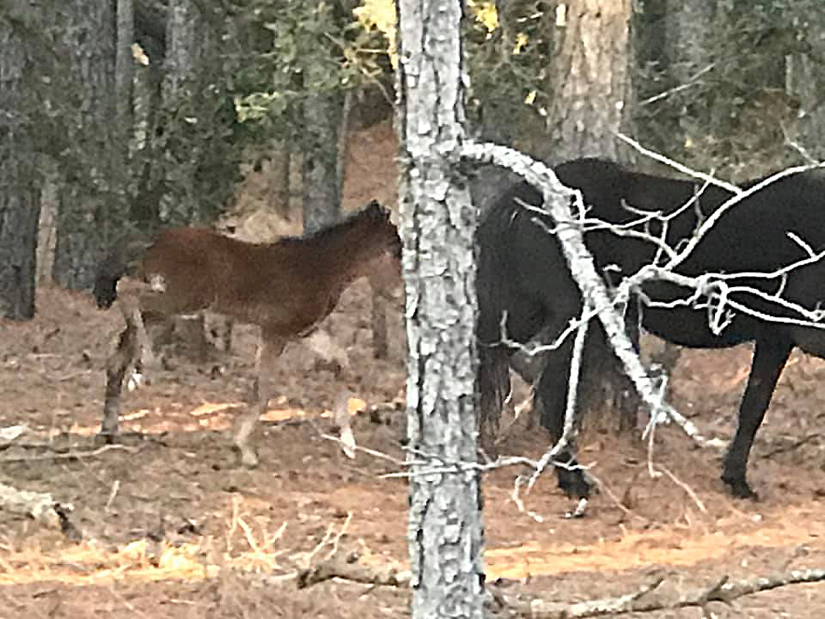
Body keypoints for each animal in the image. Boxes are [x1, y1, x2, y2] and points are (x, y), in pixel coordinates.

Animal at [474, 159, 824, 498]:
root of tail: (519, 199)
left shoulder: (775, 338)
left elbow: (753, 407)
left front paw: (734, 479)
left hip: (523, 312)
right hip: (576, 316)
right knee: (552, 393)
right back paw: (574, 482)